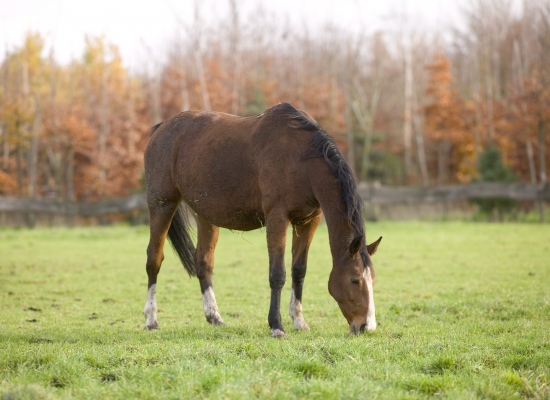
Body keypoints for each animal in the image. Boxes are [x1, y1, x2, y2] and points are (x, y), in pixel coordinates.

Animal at [143, 101, 384, 336]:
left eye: (373, 279)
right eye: (354, 279)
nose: (367, 326)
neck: (301, 160)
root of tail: (162, 129)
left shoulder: (308, 221)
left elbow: (299, 270)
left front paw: (299, 321)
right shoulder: (277, 218)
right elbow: (278, 274)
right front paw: (276, 325)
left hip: (204, 215)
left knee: (204, 263)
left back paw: (215, 317)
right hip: (162, 204)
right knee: (154, 260)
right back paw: (151, 320)